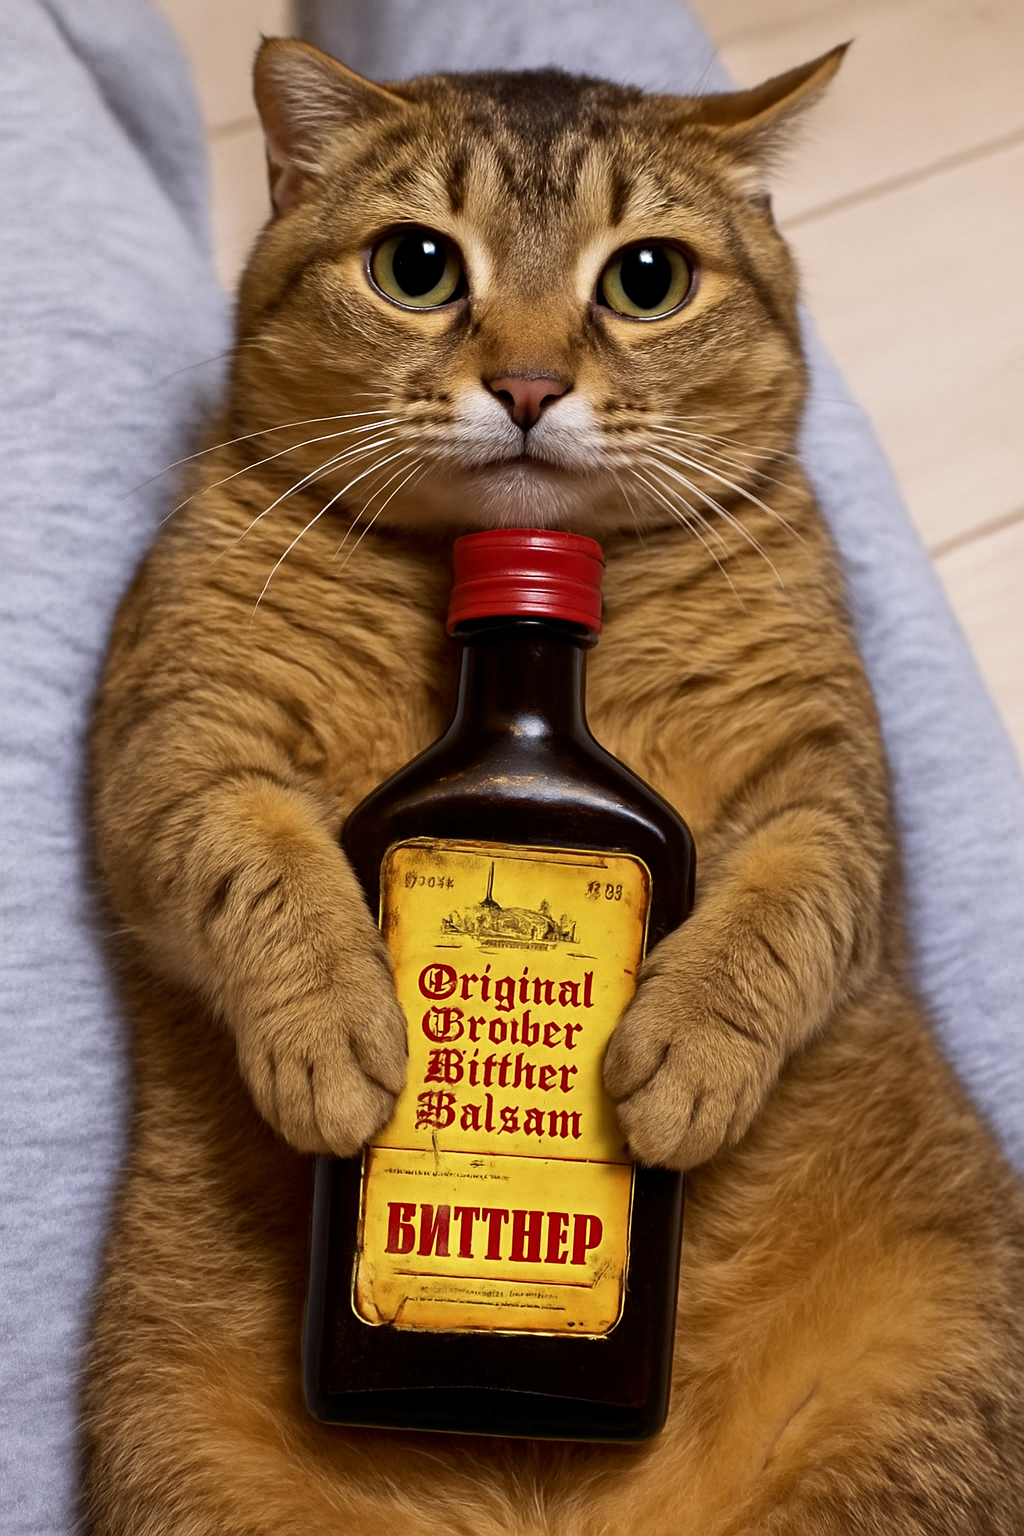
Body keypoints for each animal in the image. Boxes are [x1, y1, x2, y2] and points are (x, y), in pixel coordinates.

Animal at [82, 36, 1024, 1535]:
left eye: (646, 279)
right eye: (416, 266)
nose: (526, 385)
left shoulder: (833, 784)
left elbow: (789, 909)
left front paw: (682, 1057)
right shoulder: (171, 737)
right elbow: (254, 857)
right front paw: (339, 1031)